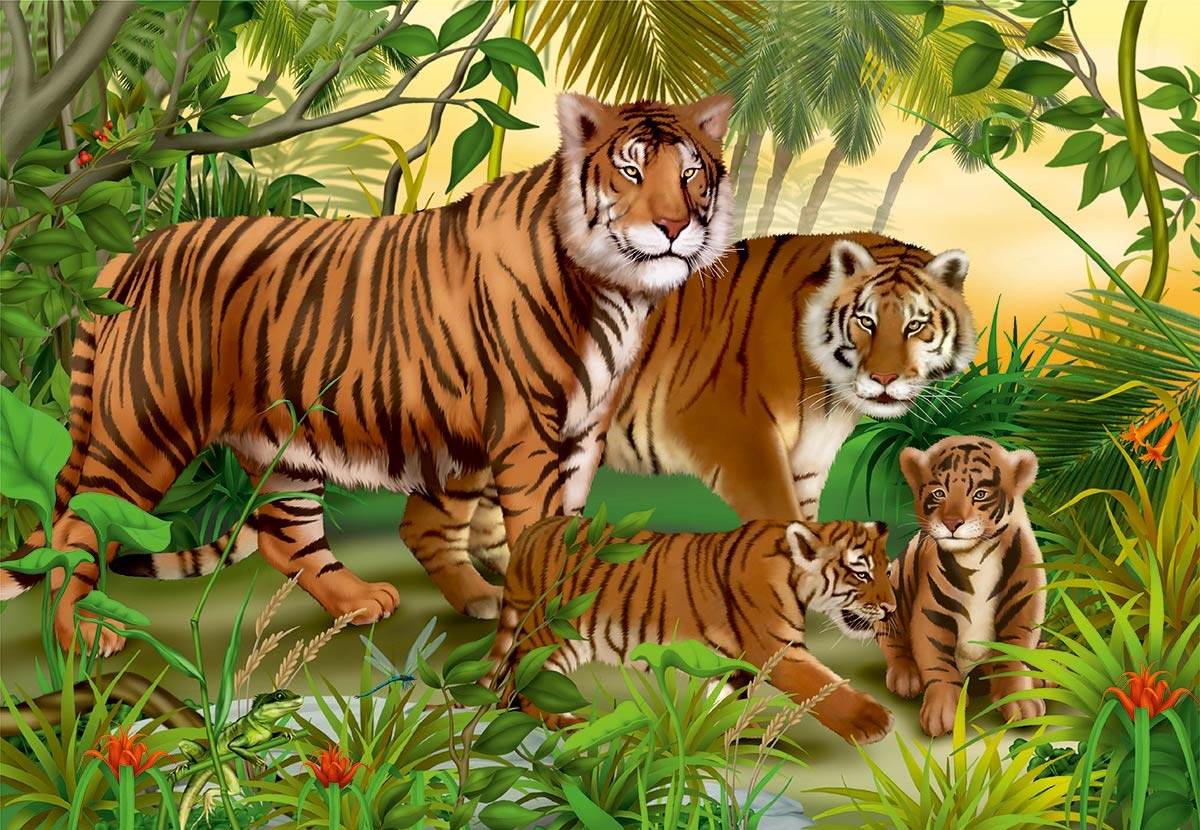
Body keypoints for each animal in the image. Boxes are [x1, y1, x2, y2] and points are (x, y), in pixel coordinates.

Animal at [0, 93, 735, 655]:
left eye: (691, 175)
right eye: (631, 171)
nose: (673, 226)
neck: (617, 289)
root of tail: (128, 254)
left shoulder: (583, 431)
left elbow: (566, 524)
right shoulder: (530, 433)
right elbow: (536, 527)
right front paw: (544, 623)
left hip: (289, 446)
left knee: (296, 538)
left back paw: (373, 601)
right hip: (143, 433)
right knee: (75, 532)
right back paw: (82, 638)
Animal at [398, 232, 976, 617]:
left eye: (916, 325)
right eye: (866, 321)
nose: (884, 379)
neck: (832, 395)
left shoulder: (809, 459)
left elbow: (810, 524)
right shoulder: (739, 441)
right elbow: (780, 515)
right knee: (423, 525)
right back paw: (482, 597)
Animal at [486, 515, 897, 745]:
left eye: (887, 570)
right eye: (862, 573)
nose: (891, 609)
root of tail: (532, 531)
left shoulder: (731, 664)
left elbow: (725, 700)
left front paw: (731, 734)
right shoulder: (779, 651)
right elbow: (825, 686)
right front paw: (875, 722)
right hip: (553, 637)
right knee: (524, 687)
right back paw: (565, 722)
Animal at [877, 435, 1046, 738]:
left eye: (979, 494)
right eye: (939, 493)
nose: (952, 523)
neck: (975, 554)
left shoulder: (1023, 605)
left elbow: (1015, 654)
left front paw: (1020, 703)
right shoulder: (933, 613)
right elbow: (938, 663)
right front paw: (944, 712)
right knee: (893, 644)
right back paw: (905, 676)